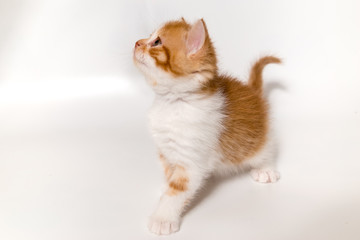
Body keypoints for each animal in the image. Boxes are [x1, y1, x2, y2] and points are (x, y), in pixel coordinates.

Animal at [132, 18, 282, 234]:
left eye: (157, 42)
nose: (136, 42)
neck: (173, 103)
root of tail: (253, 91)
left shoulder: (190, 162)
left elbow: (176, 192)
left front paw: (162, 218)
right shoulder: (166, 150)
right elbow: (170, 176)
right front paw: (166, 187)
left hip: (257, 135)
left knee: (265, 148)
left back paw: (266, 169)